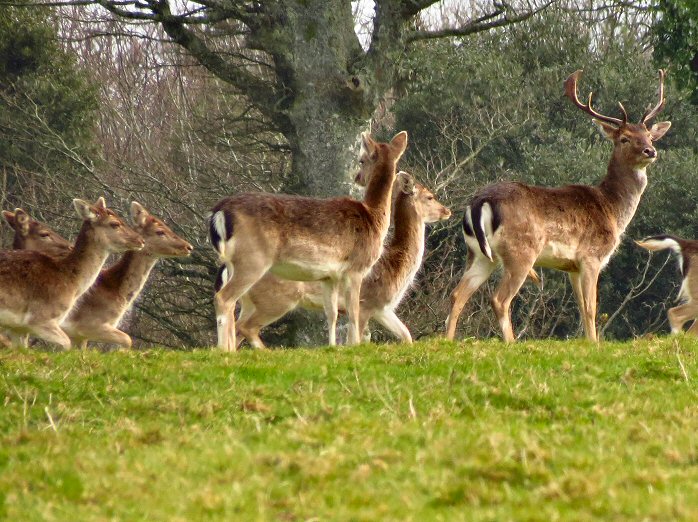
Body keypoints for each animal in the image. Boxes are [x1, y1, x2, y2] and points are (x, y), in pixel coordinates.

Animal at [0, 197, 143, 348]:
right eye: (114, 224)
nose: (140, 240)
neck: (70, 282)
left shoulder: (18, 328)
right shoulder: (39, 320)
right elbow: (67, 344)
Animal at [61, 201, 193, 348]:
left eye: (168, 227)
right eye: (160, 231)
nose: (189, 247)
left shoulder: (79, 335)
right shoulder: (86, 325)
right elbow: (128, 339)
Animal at [209, 130, 406, 350]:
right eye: (361, 159)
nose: (358, 178)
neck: (374, 217)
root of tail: (220, 211)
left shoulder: (330, 276)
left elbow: (332, 314)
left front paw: (332, 347)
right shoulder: (356, 268)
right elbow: (354, 314)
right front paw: (353, 346)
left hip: (233, 263)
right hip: (252, 260)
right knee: (223, 299)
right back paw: (224, 351)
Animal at [218, 173, 454, 348]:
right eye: (429, 196)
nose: (447, 211)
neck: (395, 267)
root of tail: (226, 269)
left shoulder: (383, 308)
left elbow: (407, 336)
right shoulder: (366, 303)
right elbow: (356, 339)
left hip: (249, 302)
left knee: (236, 326)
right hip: (276, 299)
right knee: (245, 326)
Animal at [446, 71, 668, 344]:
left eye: (649, 135)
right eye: (624, 138)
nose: (650, 150)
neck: (611, 209)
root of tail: (479, 202)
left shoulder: (571, 266)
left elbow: (581, 307)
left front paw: (588, 342)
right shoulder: (591, 256)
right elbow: (591, 307)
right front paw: (595, 345)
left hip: (478, 253)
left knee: (458, 294)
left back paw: (447, 341)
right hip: (521, 252)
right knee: (499, 299)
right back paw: (511, 343)